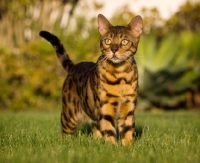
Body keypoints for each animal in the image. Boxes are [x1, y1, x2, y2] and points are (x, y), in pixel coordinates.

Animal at [39, 13, 142, 145]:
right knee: (65, 133)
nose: (113, 49)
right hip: (70, 114)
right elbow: (109, 130)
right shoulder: (105, 107)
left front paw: (128, 147)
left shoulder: (128, 108)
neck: (121, 77)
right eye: (107, 41)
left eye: (124, 41)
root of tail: (74, 66)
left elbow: (128, 131)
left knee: (95, 128)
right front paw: (113, 147)